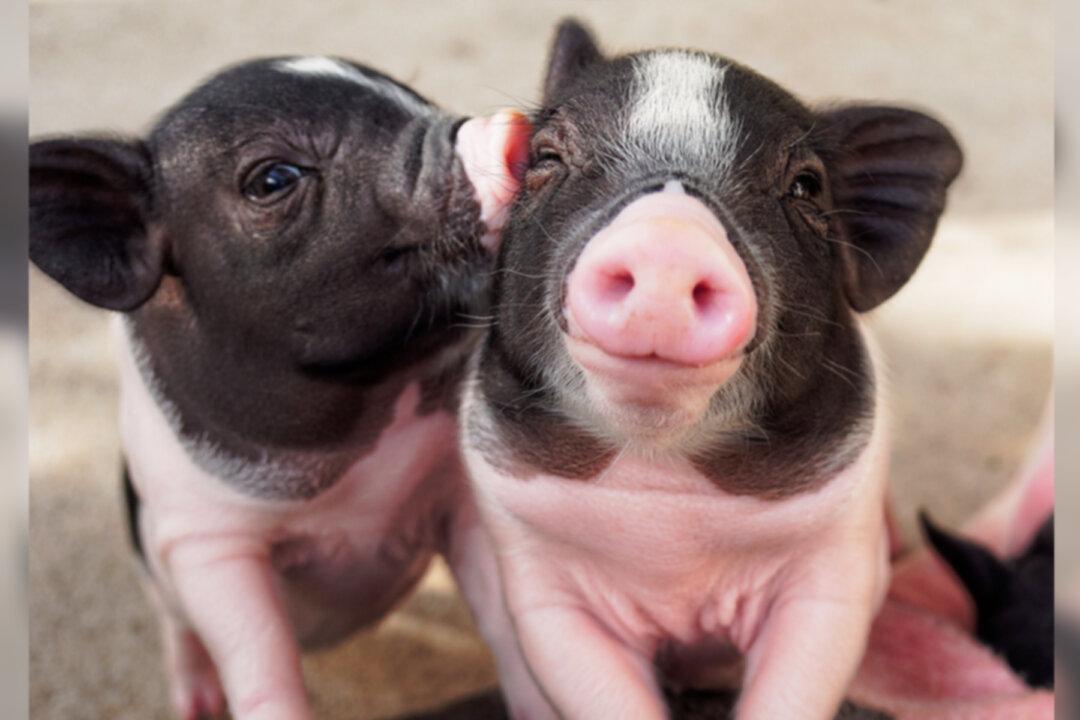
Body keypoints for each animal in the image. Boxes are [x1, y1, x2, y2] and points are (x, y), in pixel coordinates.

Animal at [30, 56, 529, 720]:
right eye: (272, 179)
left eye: (418, 102)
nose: (510, 126)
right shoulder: (206, 539)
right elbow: (262, 666)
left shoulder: (455, 493)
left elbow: (503, 623)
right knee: (177, 633)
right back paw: (196, 705)